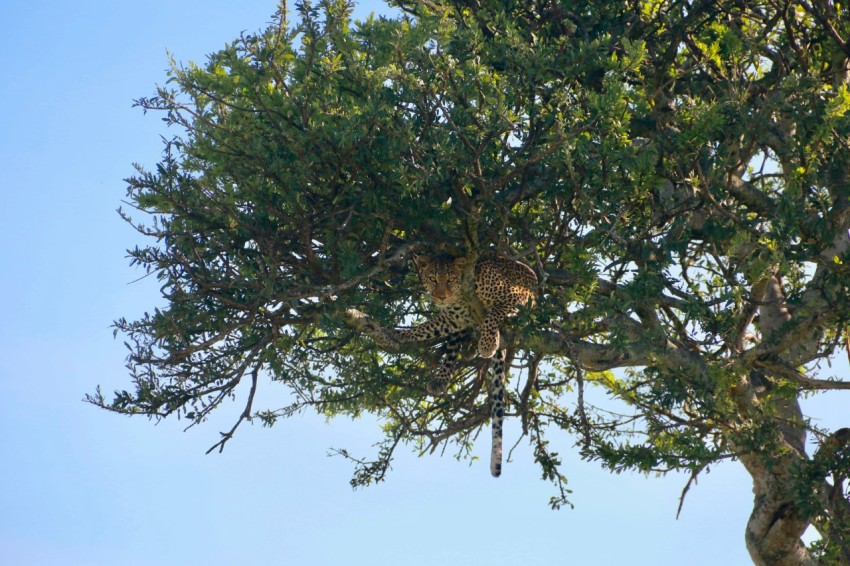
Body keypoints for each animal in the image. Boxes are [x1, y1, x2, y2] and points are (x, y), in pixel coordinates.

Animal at [392, 253, 537, 477]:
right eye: (433, 279)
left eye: (450, 279)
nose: (441, 297)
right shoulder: (451, 319)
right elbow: (428, 327)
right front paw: (403, 334)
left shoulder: (517, 294)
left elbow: (494, 312)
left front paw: (487, 344)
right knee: (453, 346)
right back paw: (441, 378)